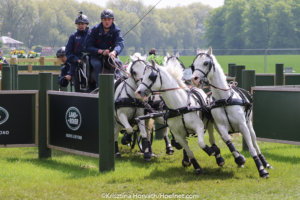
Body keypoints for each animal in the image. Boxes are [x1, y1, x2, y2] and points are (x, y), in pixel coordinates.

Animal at [192, 47, 272, 177]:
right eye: (193, 65)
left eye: (206, 63)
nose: (194, 79)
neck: (224, 99)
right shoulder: (221, 127)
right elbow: (228, 141)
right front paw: (239, 159)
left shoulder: (243, 126)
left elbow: (251, 148)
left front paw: (261, 169)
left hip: (249, 126)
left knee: (255, 144)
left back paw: (266, 163)